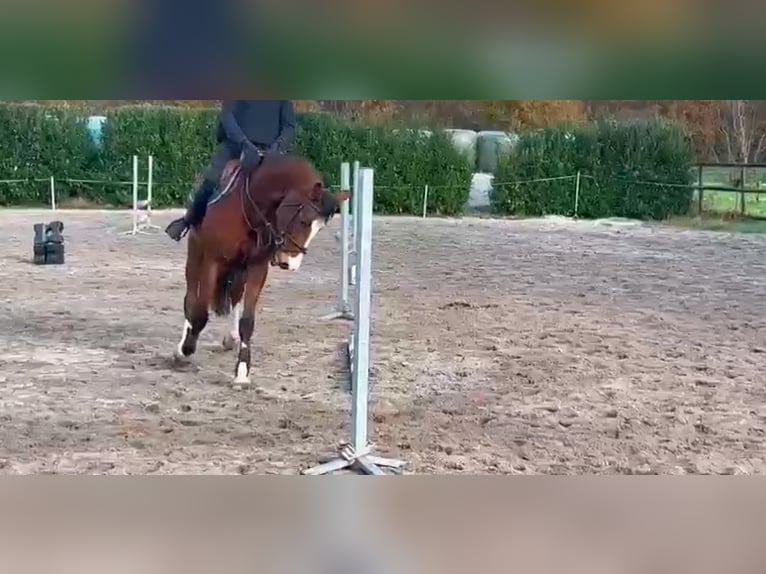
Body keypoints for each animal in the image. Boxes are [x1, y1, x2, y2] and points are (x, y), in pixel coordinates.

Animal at [173, 153, 352, 388]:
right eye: (303, 221)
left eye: (319, 229)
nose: (290, 263)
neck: (250, 209)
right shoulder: (213, 260)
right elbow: (200, 312)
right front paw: (186, 349)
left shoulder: (257, 268)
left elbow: (247, 321)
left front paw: (242, 372)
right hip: (196, 253)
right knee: (191, 297)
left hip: (238, 269)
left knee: (234, 297)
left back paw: (231, 337)